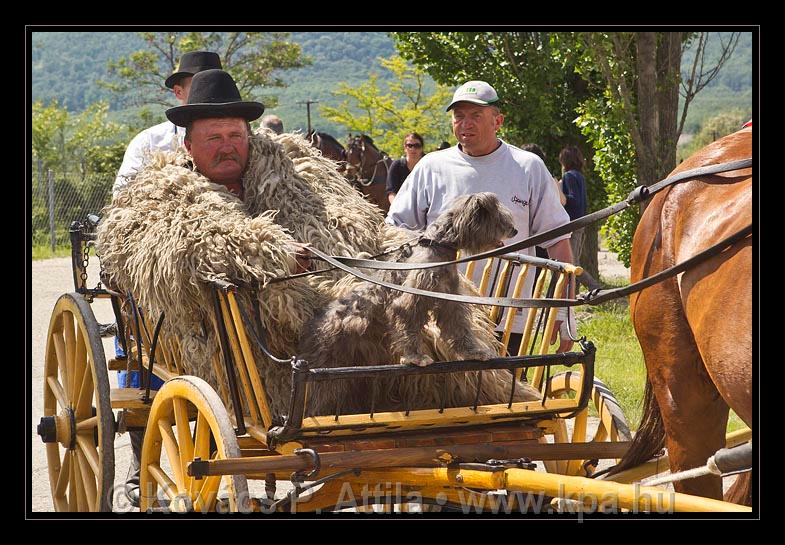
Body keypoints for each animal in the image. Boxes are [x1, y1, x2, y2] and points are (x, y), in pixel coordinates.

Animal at [300, 193, 520, 414]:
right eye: (499, 217)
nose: (515, 229)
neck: (437, 245)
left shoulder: (451, 302)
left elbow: (459, 328)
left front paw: (472, 352)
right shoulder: (409, 302)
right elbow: (409, 327)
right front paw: (415, 357)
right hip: (328, 374)